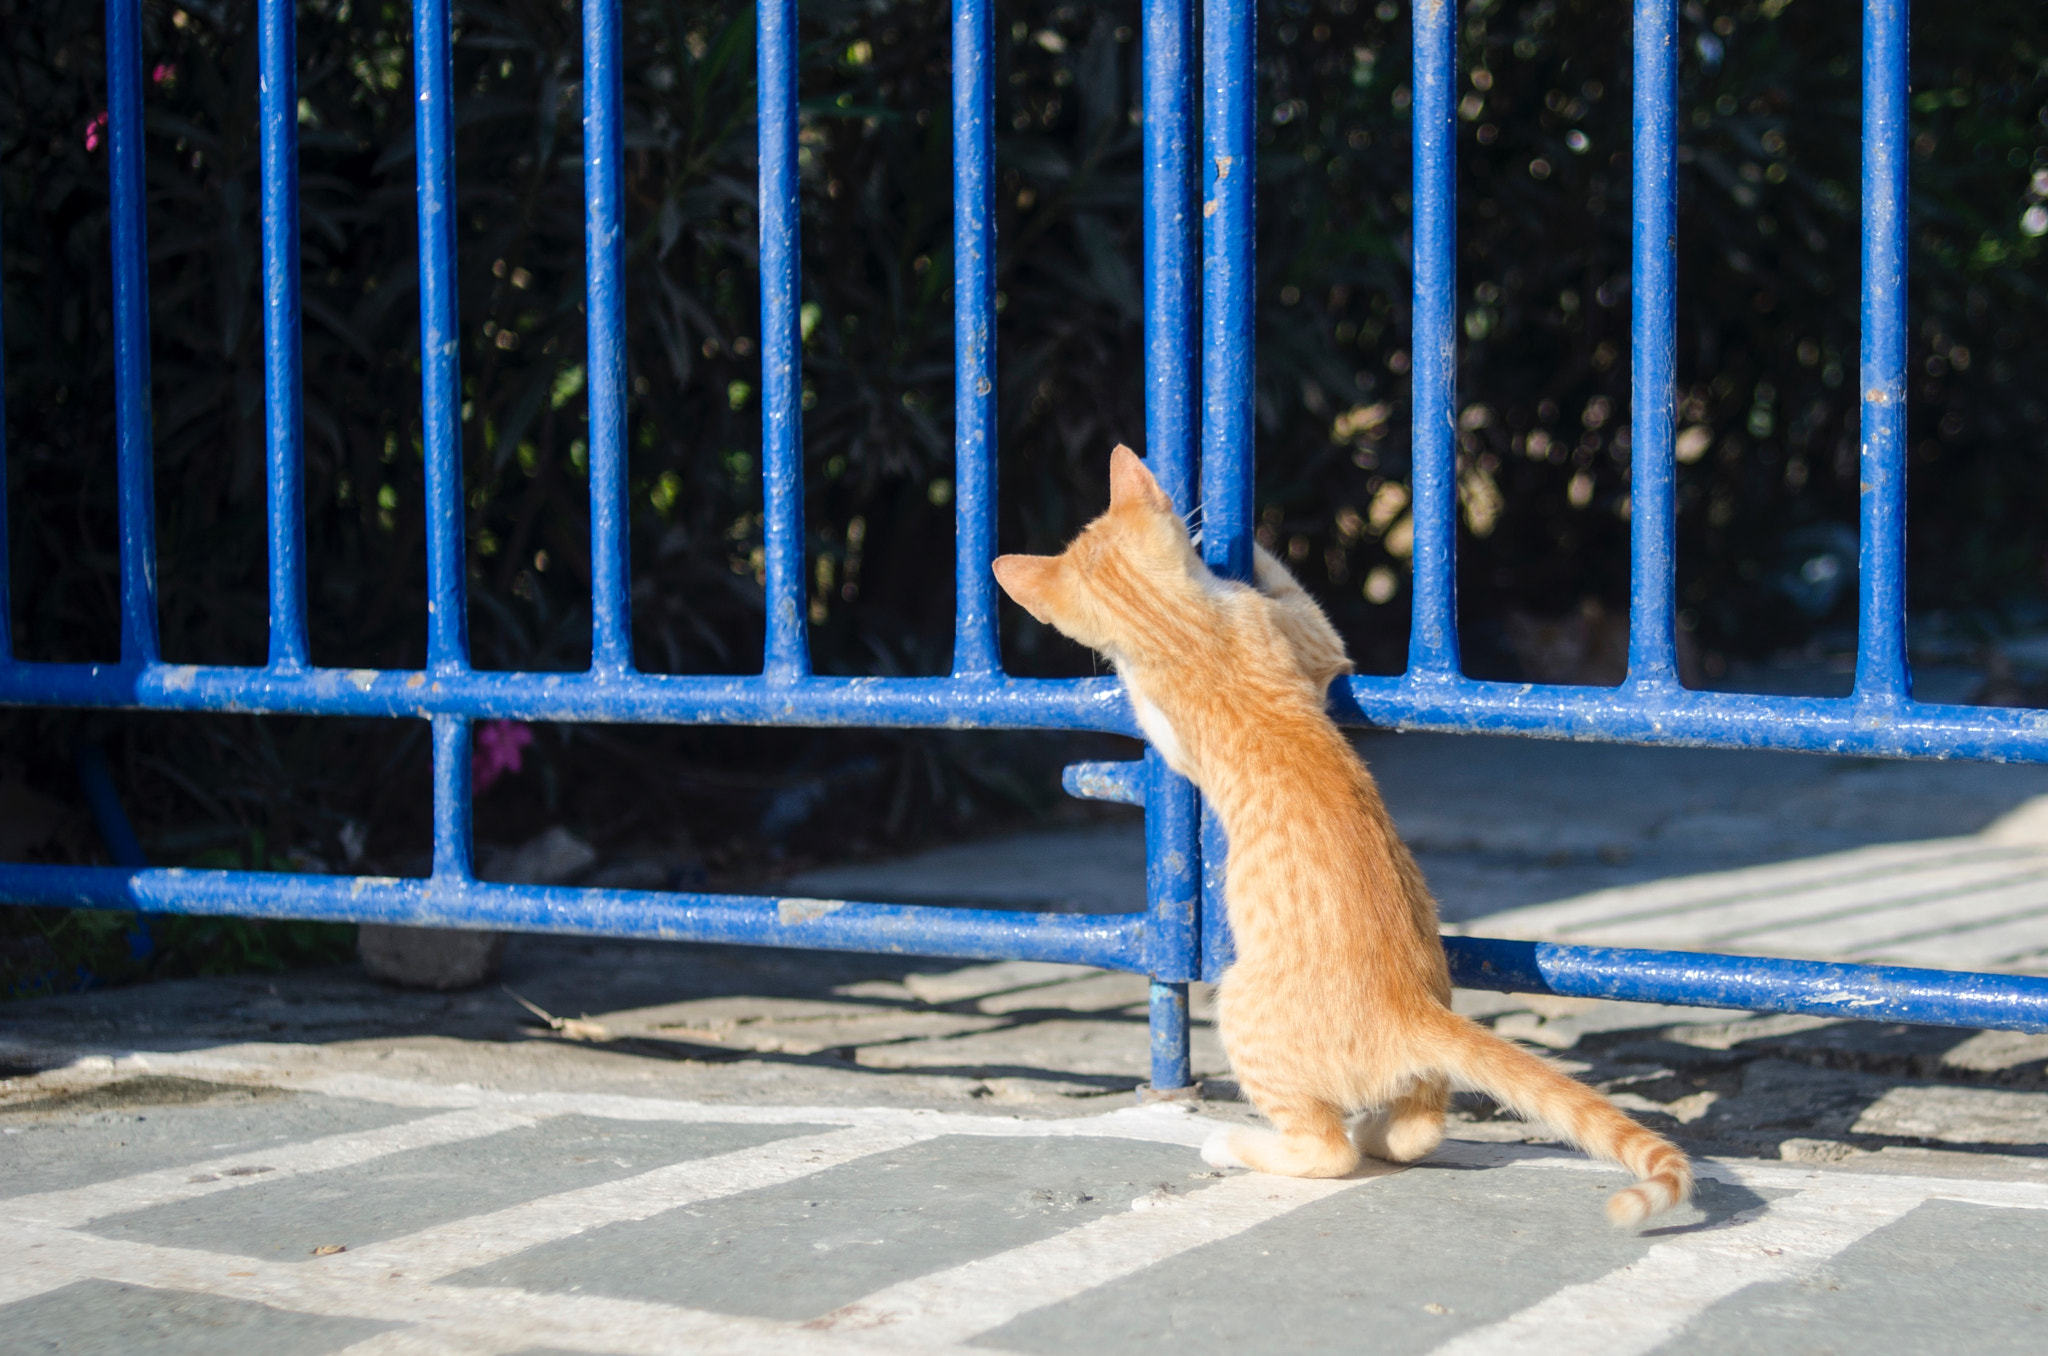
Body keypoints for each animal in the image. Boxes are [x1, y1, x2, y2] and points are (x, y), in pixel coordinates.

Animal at [995, 448, 1695, 1229]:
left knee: (1326, 1153)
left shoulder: (1200, 705)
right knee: (1419, 1126)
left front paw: (1249, 540)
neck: (1180, 626)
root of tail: (1409, 1007)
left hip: (1242, 1012)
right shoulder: (1302, 637)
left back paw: (1237, 1145)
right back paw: (1384, 1132)